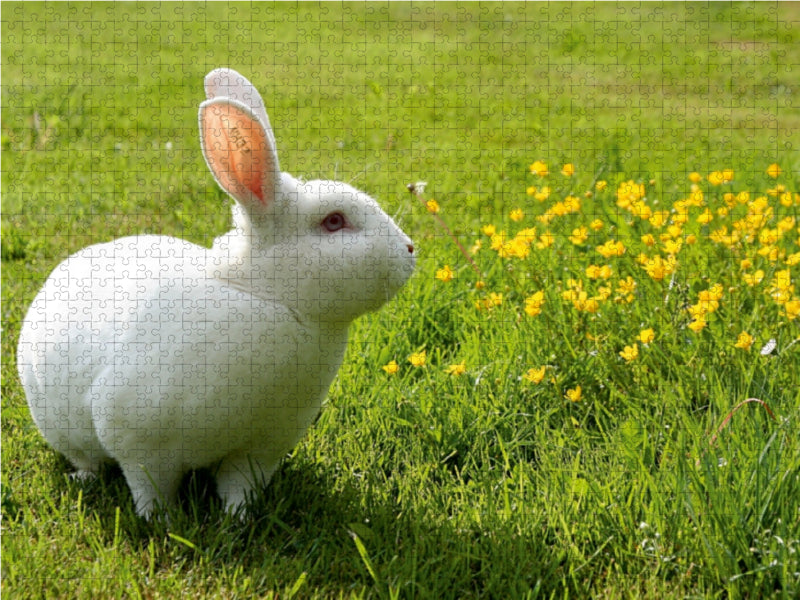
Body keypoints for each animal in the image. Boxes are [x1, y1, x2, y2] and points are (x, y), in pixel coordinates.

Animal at [16, 68, 416, 518]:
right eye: (334, 222)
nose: (409, 250)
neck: (270, 298)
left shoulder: (261, 447)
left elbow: (238, 486)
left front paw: (238, 518)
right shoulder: (139, 440)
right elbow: (149, 487)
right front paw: (159, 521)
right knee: (88, 460)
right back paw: (83, 477)